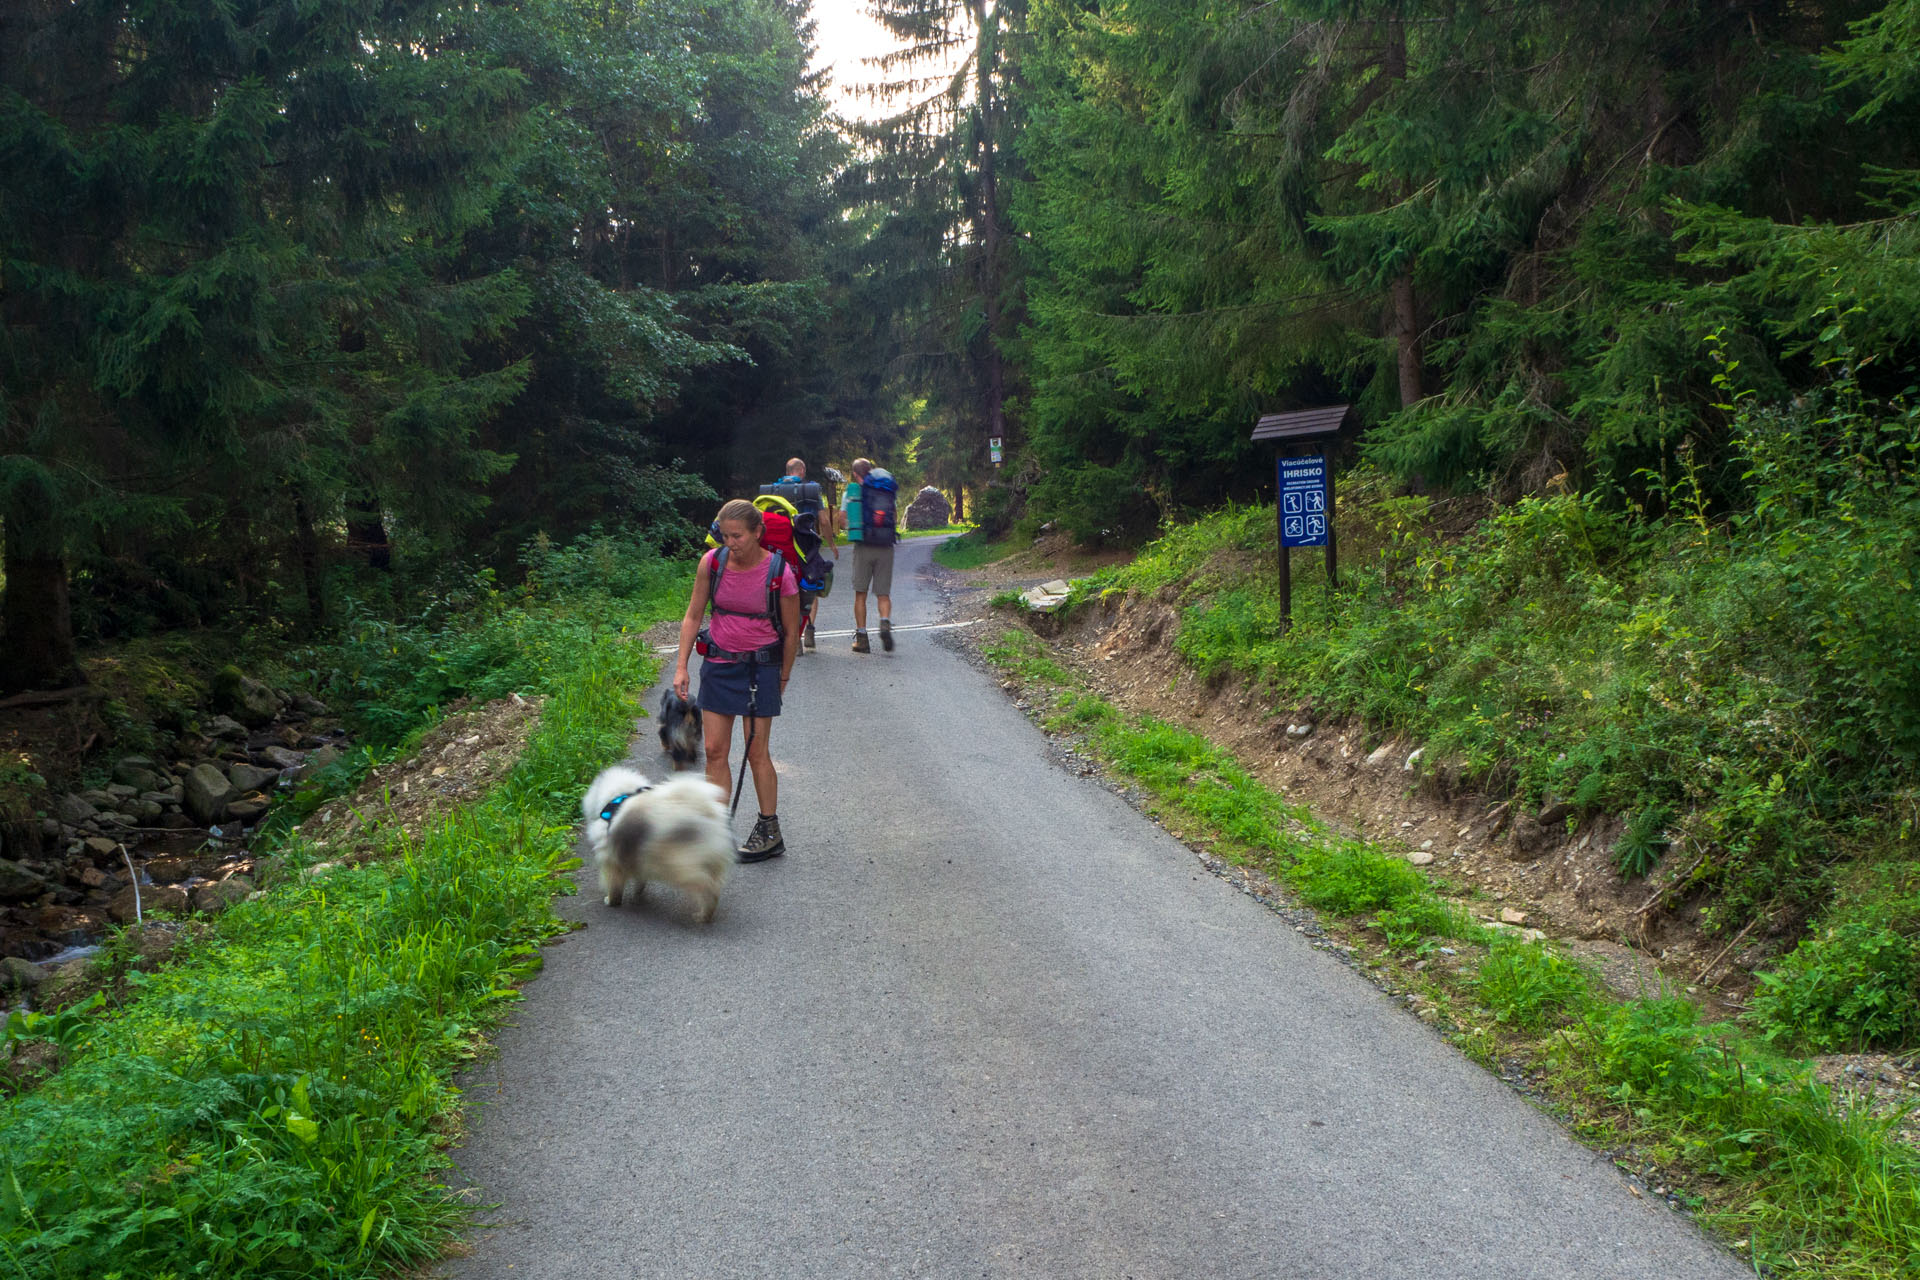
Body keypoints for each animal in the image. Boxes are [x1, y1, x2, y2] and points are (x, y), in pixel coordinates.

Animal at [576, 767, 733, 924]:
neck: (619, 797)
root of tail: (705, 814)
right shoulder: (637, 855)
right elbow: (640, 878)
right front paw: (637, 893)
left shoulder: (611, 859)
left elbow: (614, 885)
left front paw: (611, 900)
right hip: (710, 863)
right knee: (714, 885)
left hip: (679, 864)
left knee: (707, 888)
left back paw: (703, 915)